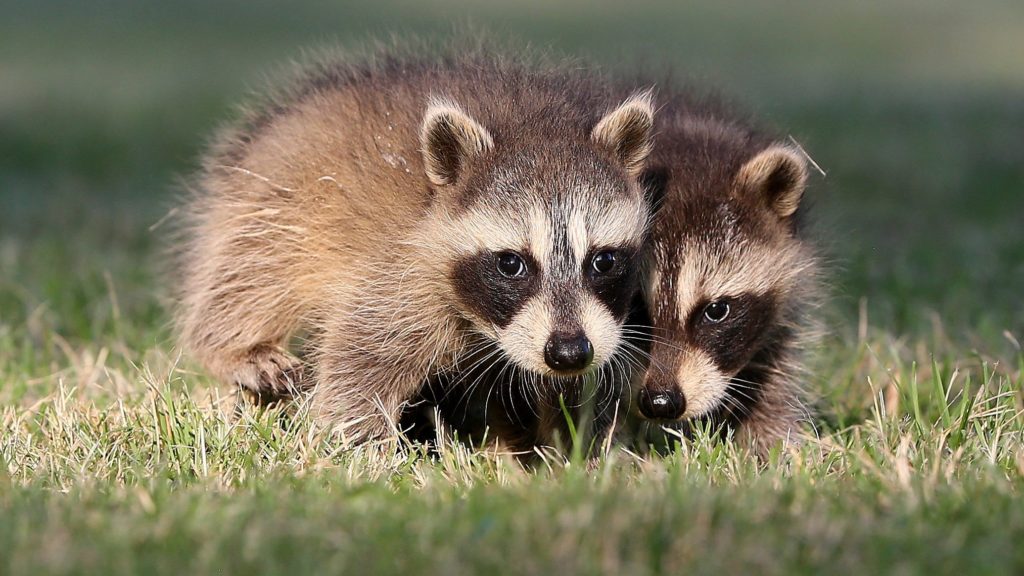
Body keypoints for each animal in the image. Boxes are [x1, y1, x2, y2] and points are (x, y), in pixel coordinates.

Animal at [174, 48, 655, 444]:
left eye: (603, 260)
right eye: (511, 264)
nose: (569, 353)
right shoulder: (400, 271)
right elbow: (361, 361)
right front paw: (360, 445)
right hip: (281, 201)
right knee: (253, 275)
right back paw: (235, 344)